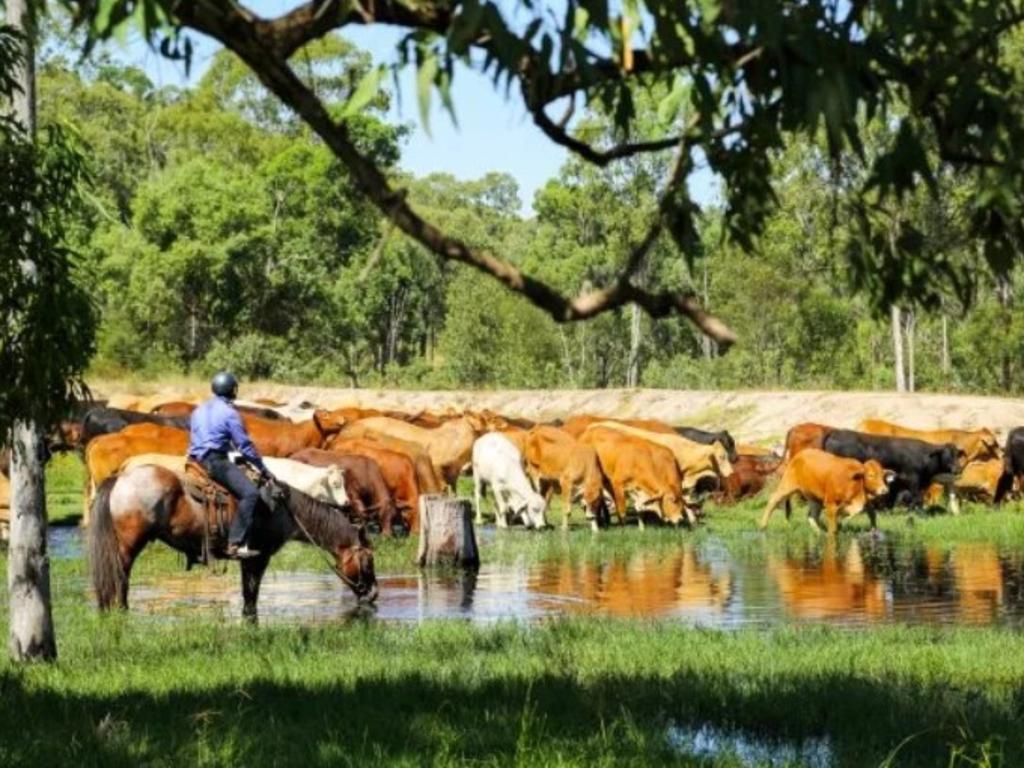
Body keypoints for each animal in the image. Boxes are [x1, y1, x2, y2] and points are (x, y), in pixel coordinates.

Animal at [90, 462, 378, 618]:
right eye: (368, 560)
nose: (374, 593)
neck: (283, 508)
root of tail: (119, 480)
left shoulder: (249, 560)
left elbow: (247, 593)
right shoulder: (259, 557)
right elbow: (251, 594)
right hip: (129, 545)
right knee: (121, 576)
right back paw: (120, 609)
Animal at [757, 450, 892, 536]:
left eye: (883, 476)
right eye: (870, 475)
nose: (884, 490)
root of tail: (801, 453)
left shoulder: (865, 503)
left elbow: (872, 515)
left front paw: (874, 532)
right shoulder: (831, 505)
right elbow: (833, 530)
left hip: (814, 499)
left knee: (811, 515)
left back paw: (819, 532)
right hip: (787, 485)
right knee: (773, 499)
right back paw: (763, 526)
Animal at [819, 430, 954, 514]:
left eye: (956, 454)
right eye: (945, 455)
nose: (955, 468)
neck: (924, 456)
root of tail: (835, 432)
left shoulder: (897, 482)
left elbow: (893, 498)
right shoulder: (912, 480)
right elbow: (917, 497)